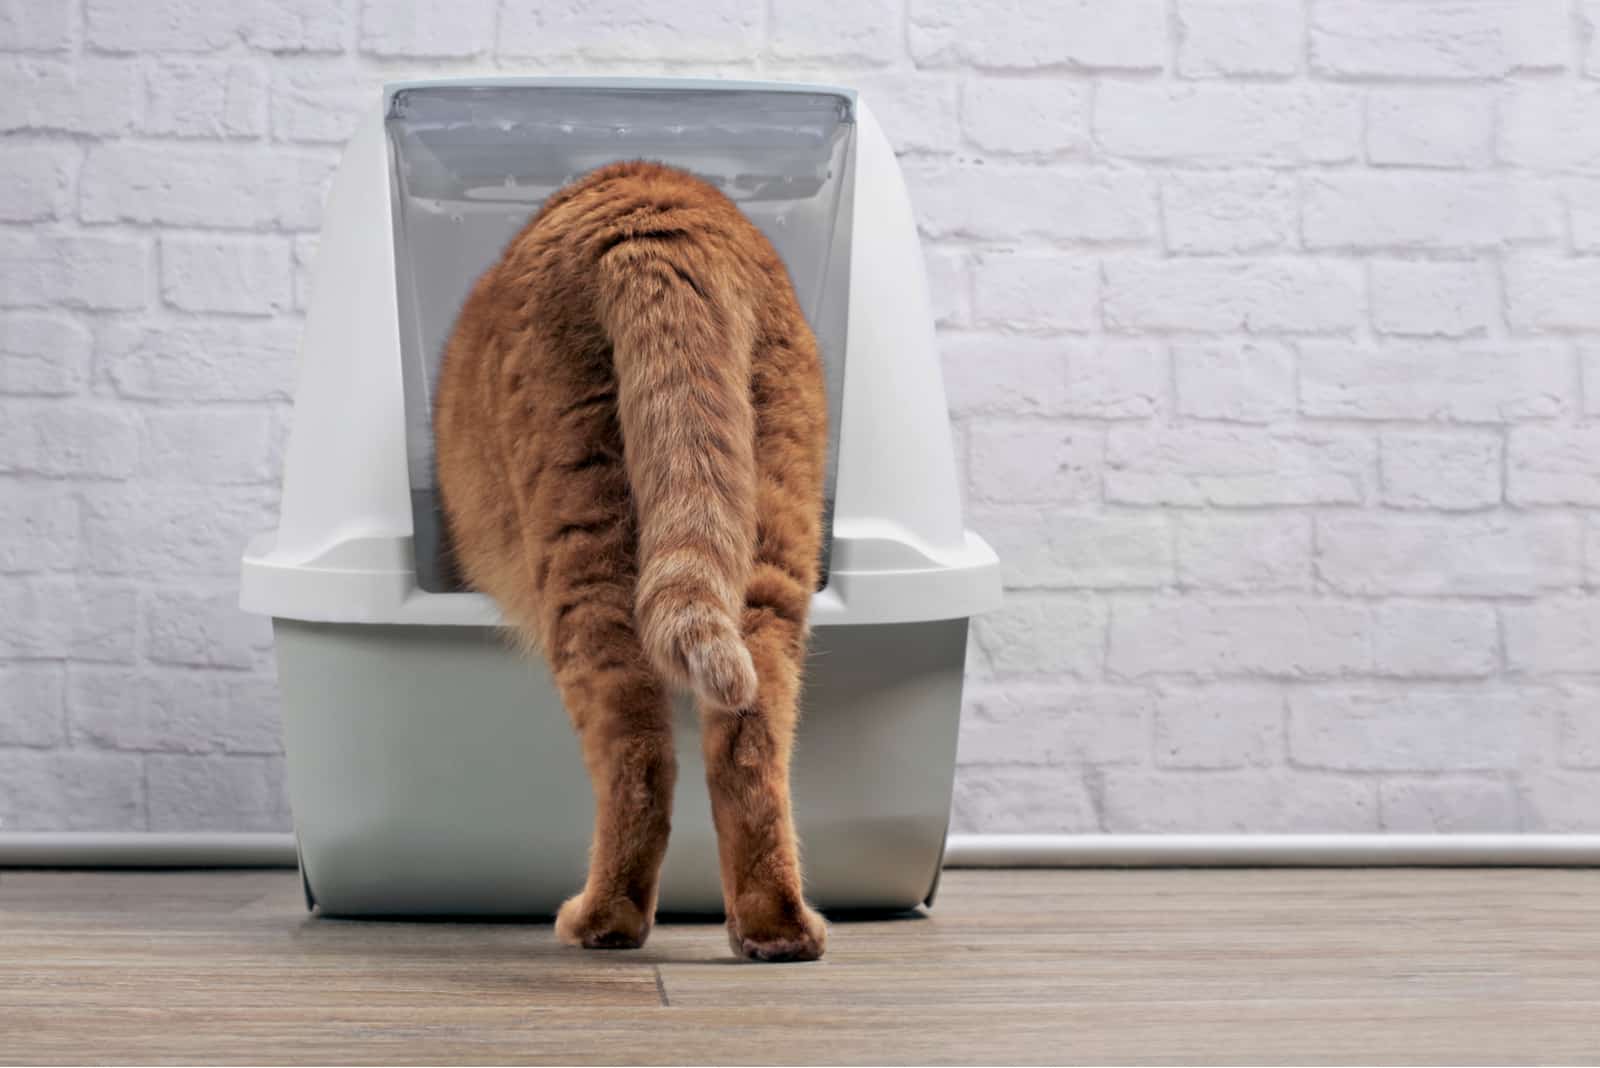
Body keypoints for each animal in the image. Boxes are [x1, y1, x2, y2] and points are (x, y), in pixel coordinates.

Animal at [438, 163, 832, 965]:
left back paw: (601, 919)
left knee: (640, 760)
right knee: (751, 739)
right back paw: (775, 930)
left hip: (584, 547)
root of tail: (658, 201)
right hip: (772, 540)